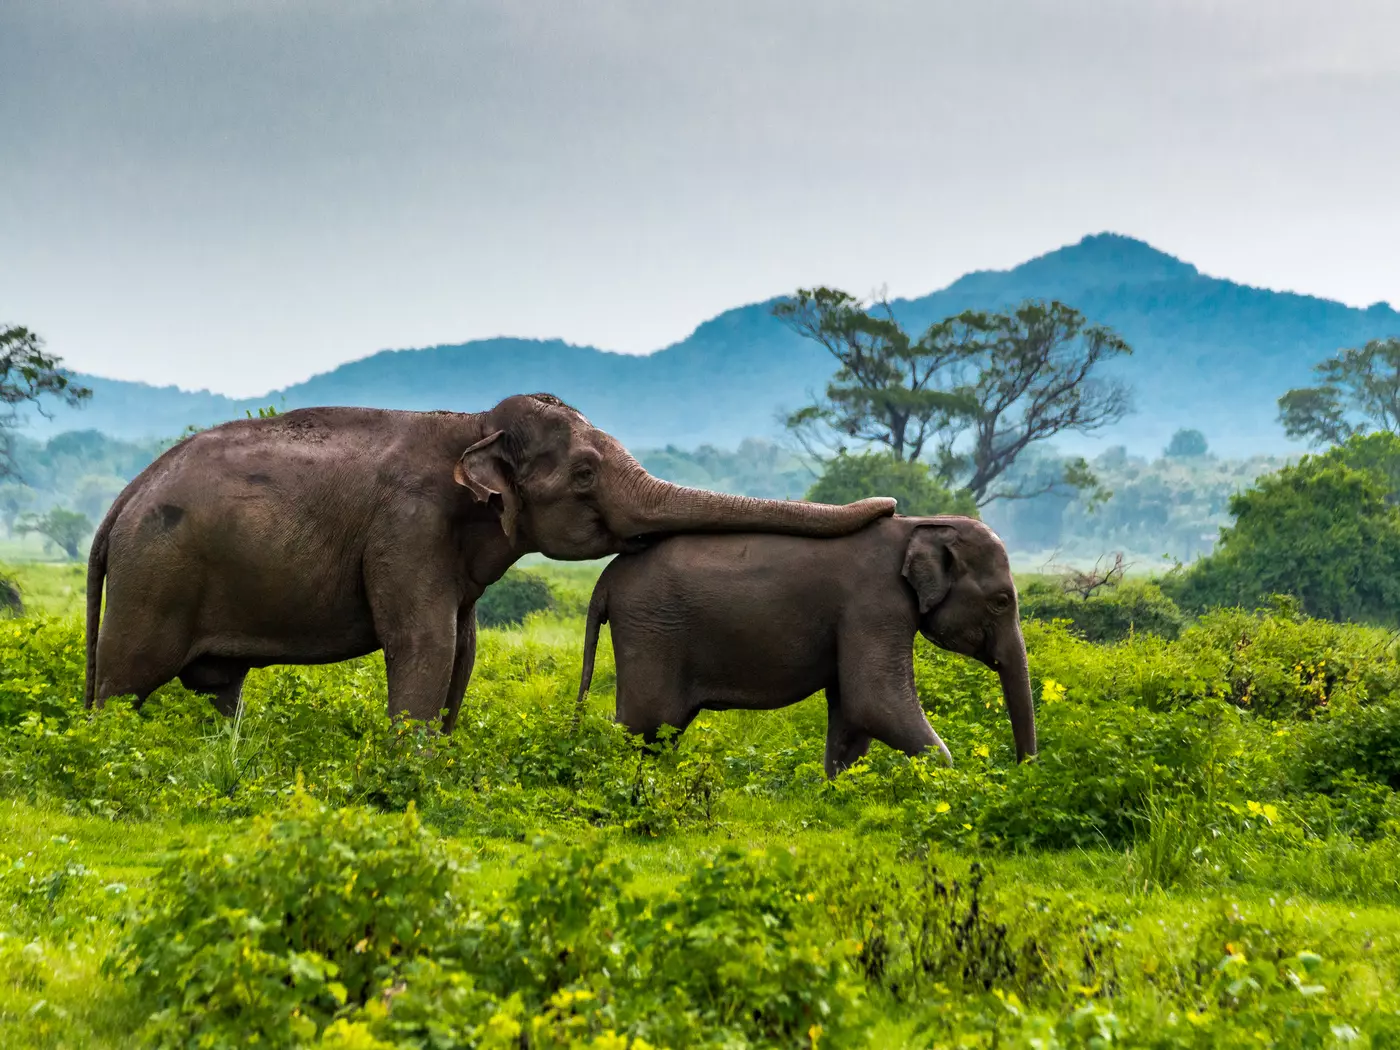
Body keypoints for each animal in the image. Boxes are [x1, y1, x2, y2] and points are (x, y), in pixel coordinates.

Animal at [85, 393, 895, 727]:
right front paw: (408, 771)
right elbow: (425, 644)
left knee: (220, 691)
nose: (889, 507)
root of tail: (122, 501)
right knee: (124, 681)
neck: (472, 423)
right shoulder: (408, 528)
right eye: (584, 475)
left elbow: (464, 650)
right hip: (155, 576)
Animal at [573, 514, 1036, 779]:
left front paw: (840, 791)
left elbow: (852, 712)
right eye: (1002, 601)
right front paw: (948, 782)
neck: (918, 526)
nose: (1022, 773)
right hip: (651, 631)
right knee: (644, 724)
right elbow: (874, 701)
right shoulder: (876, 601)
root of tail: (605, 580)